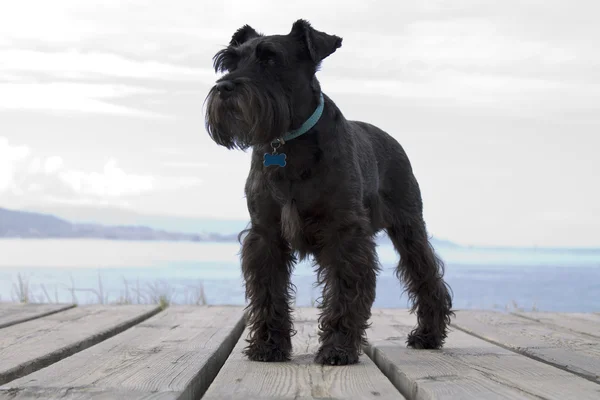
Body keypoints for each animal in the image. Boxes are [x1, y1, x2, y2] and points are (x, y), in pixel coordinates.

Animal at [204, 18, 452, 364]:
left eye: (270, 59)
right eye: (229, 62)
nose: (225, 88)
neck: (287, 143)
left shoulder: (344, 233)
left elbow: (345, 292)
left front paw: (337, 348)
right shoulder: (265, 234)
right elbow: (268, 292)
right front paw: (268, 346)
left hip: (409, 226)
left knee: (425, 273)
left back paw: (428, 334)